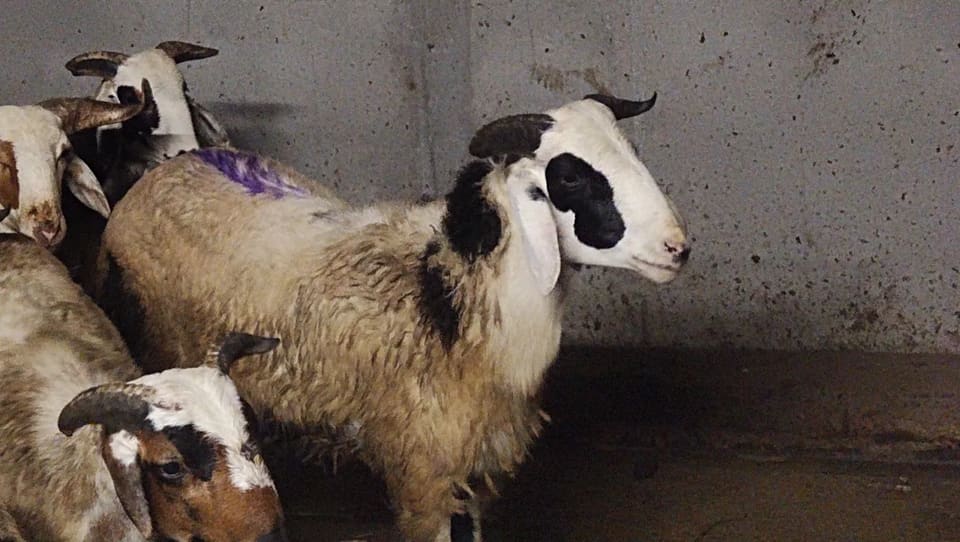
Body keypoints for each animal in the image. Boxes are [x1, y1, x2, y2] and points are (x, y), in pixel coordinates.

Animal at [97, 93, 690, 541]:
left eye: (630, 152)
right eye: (569, 178)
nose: (677, 248)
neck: (449, 289)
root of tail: (169, 167)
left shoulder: (466, 461)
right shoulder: (423, 469)